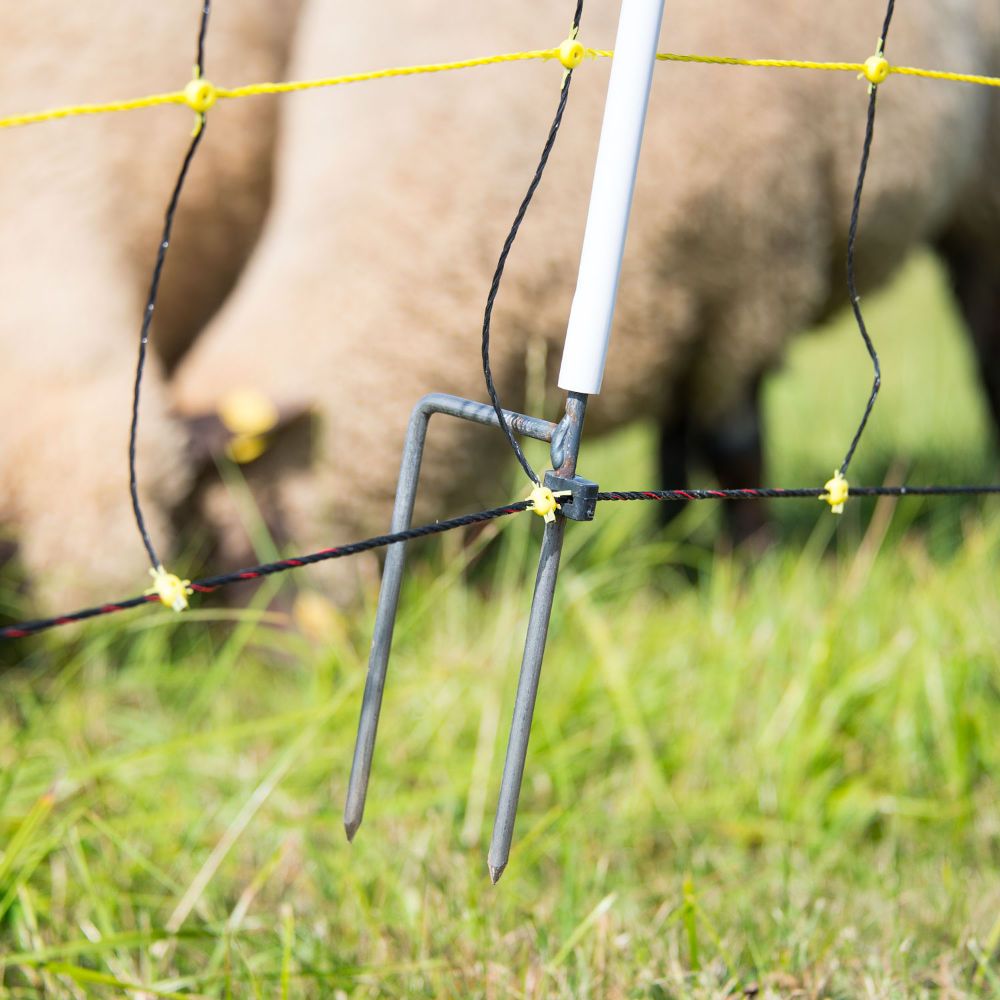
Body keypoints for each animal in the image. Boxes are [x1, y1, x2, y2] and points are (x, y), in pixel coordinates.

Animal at [170, 0, 999, 591]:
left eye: (251, 521)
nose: (268, 663)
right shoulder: (695, 300)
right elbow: (688, 440)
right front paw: (678, 562)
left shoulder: (746, 281)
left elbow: (736, 442)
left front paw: (751, 572)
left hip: (976, 195)